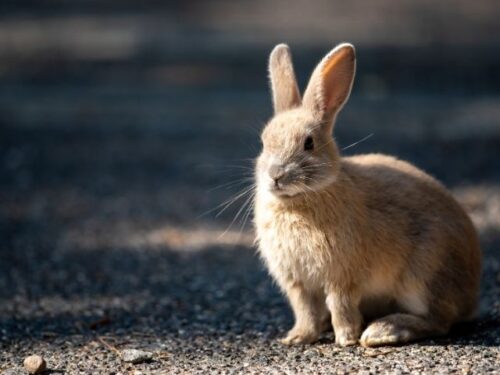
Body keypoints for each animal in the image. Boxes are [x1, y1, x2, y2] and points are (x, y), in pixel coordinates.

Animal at [254, 44, 480, 350]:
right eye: (264, 143)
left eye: (308, 143)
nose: (275, 176)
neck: (297, 202)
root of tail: (471, 295)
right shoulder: (297, 283)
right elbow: (305, 311)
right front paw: (296, 337)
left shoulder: (342, 276)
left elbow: (341, 305)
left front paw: (346, 339)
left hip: (423, 276)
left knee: (439, 319)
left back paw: (382, 331)